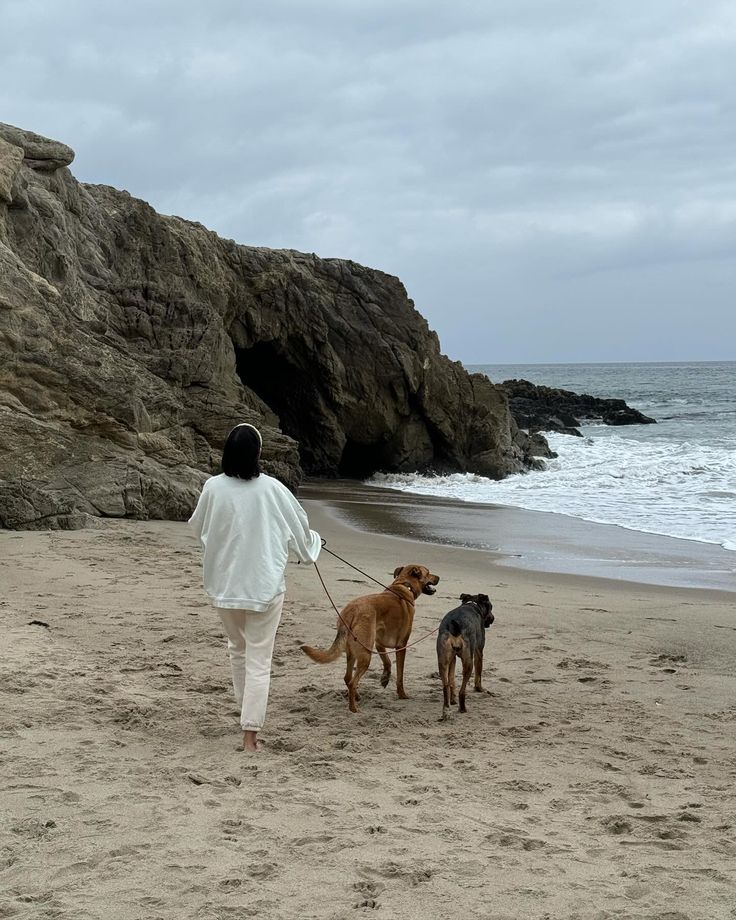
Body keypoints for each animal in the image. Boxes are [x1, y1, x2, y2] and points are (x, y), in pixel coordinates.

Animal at [302, 564, 440, 716]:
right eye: (428, 572)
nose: (439, 577)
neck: (405, 585)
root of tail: (351, 612)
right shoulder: (401, 646)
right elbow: (400, 675)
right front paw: (402, 694)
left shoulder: (378, 643)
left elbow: (387, 661)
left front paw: (385, 678)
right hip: (365, 654)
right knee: (352, 682)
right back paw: (353, 708)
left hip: (354, 651)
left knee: (347, 678)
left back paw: (356, 696)